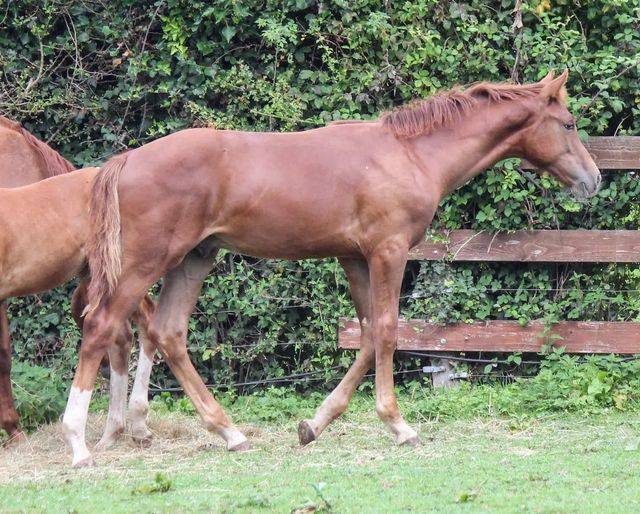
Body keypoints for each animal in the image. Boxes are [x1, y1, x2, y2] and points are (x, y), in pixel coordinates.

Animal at [63, 69, 600, 467]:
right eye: (569, 123)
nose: (593, 180)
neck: (410, 154)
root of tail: (126, 160)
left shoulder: (355, 257)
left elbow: (367, 335)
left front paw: (313, 424)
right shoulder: (388, 252)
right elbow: (387, 331)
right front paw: (399, 425)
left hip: (194, 258)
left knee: (168, 333)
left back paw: (228, 432)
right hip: (144, 263)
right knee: (102, 326)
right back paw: (79, 443)